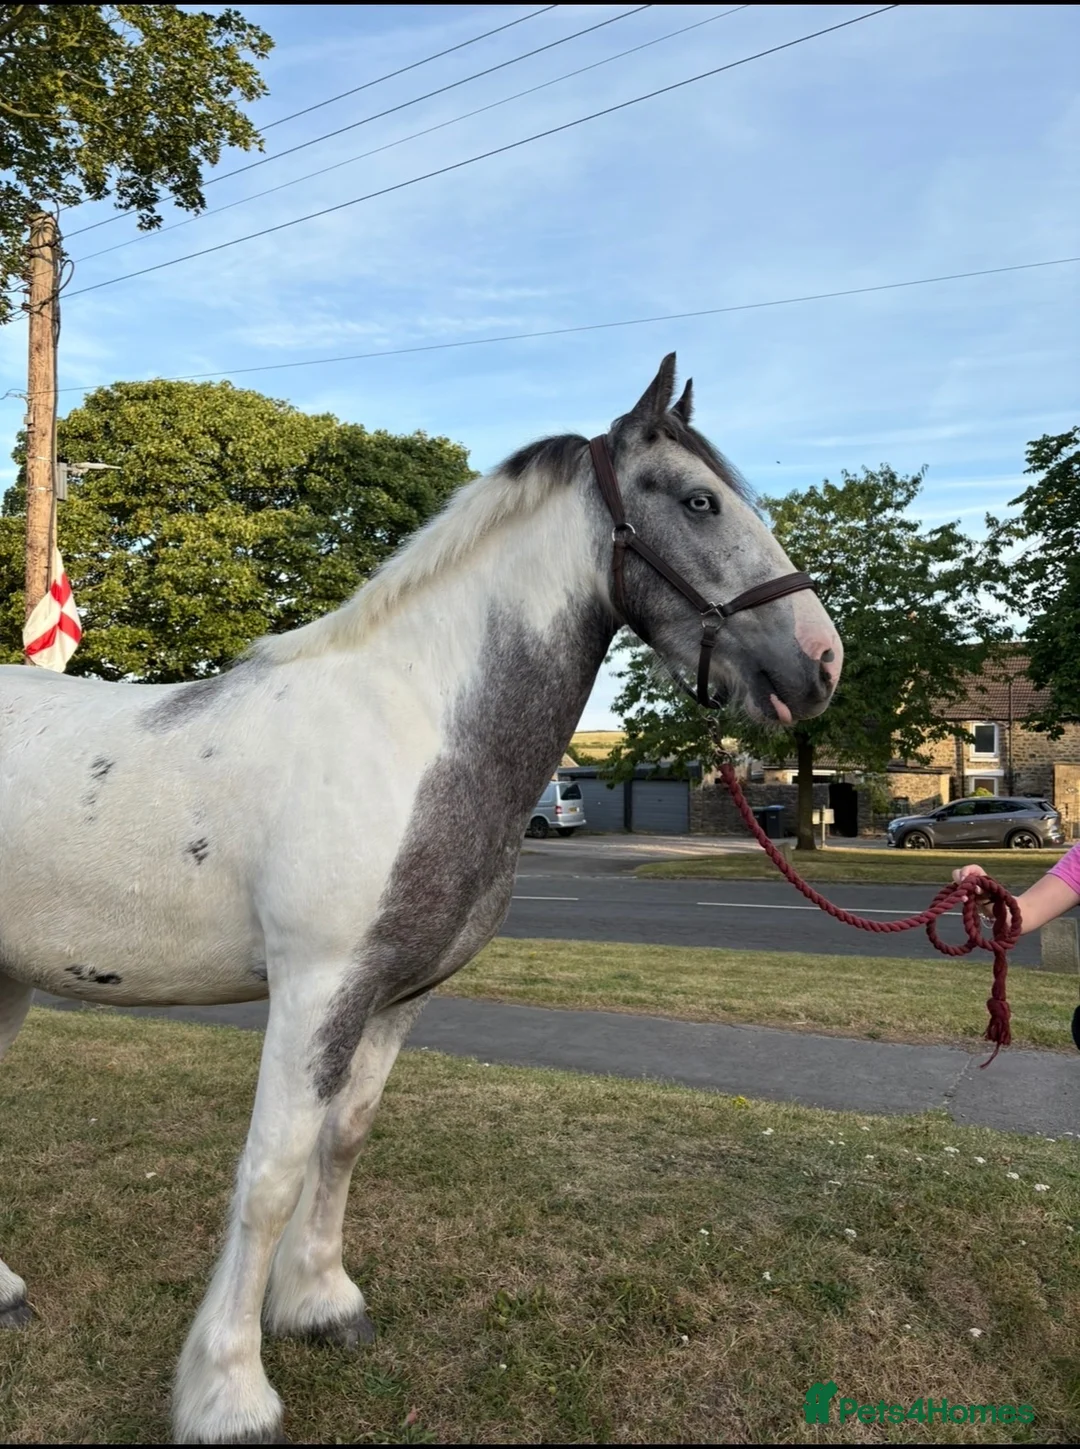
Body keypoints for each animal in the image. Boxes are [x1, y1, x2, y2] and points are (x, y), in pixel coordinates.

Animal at [0, 354, 842, 1443]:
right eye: (699, 501)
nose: (820, 663)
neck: (410, 730)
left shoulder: (395, 996)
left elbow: (343, 1142)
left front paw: (323, 1305)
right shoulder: (317, 989)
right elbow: (272, 1171)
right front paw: (230, 1390)